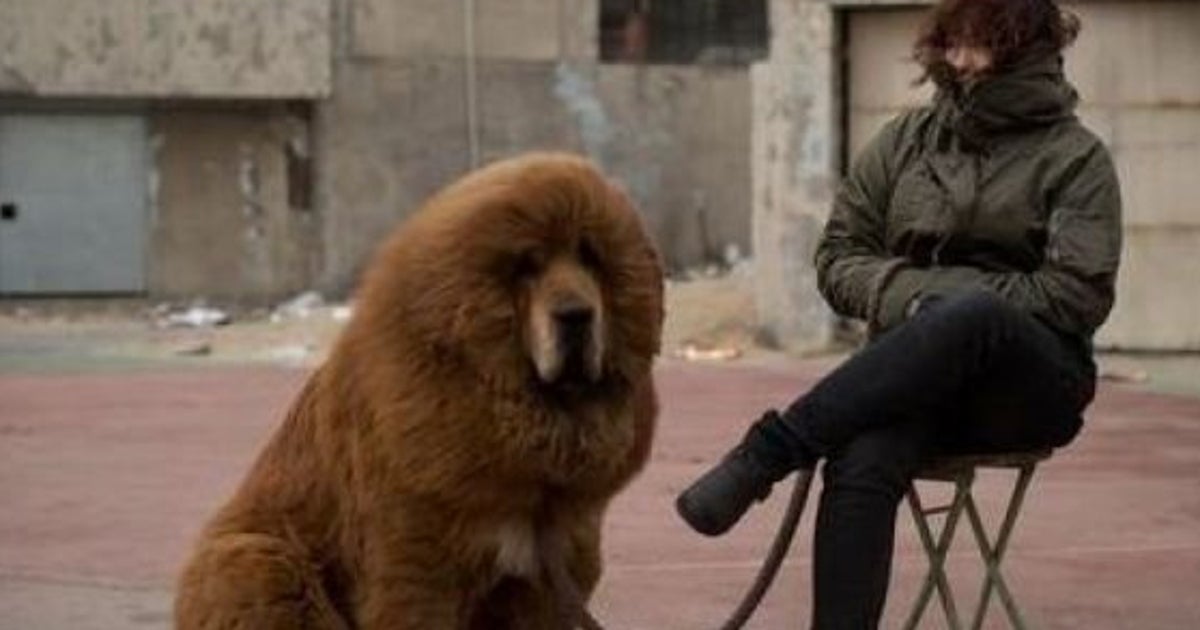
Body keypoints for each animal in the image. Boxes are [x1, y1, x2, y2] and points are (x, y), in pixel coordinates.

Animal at [175, 152, 664, 629]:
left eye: (590, 257)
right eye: (528, 265)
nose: (576, 315)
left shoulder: (549, 572)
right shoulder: (417, 565)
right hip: (257, 559)